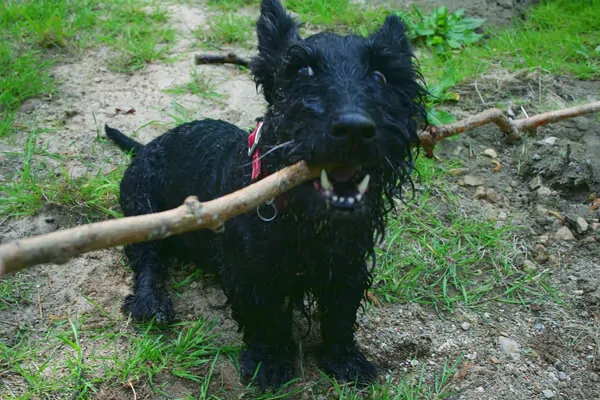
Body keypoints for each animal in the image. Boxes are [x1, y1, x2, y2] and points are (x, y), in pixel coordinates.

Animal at [108, 0, 426, 390]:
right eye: (302, 70)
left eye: (381, 75)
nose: (354, 128)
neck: (303, 220)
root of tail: (144, 147)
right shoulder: (250, 274)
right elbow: (265, 318)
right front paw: (269, 363)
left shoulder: (347, 265)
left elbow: (340, 314)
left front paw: (345, 361)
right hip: (142, 211)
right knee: (148, 261)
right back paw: (151, 302)